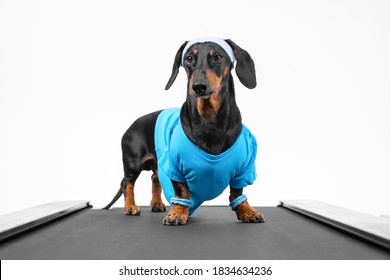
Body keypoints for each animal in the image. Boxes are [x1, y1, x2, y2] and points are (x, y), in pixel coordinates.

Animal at [103, 37, 266, 225]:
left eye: (217, 57)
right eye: (188, 59)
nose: (198, 87)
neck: (209, 119)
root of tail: (131, 125)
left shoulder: (243, 169)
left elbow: (237, 192)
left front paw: (246, 210)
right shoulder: (175, 166)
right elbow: (181, 192)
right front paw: (178, 213)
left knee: (154, 178)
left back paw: (156, 204)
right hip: (133, 163)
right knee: (126, 183)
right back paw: (130, 206)